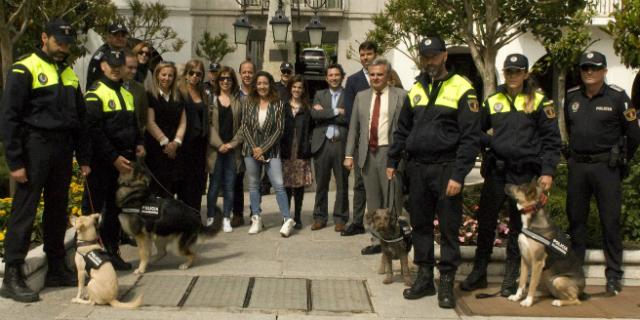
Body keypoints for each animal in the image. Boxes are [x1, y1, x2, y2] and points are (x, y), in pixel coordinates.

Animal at [502, 180, 588, 308]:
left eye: (520, 187)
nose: (506, 184)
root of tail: (582, 290)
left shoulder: (537, 262)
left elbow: (532, 283)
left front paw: (528, 301)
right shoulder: (524, 259)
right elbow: (522, 281)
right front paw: (517, 296)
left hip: (559, 280)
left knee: (576, 300)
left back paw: (558, 302)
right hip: (546, 275)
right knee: (551, 293)